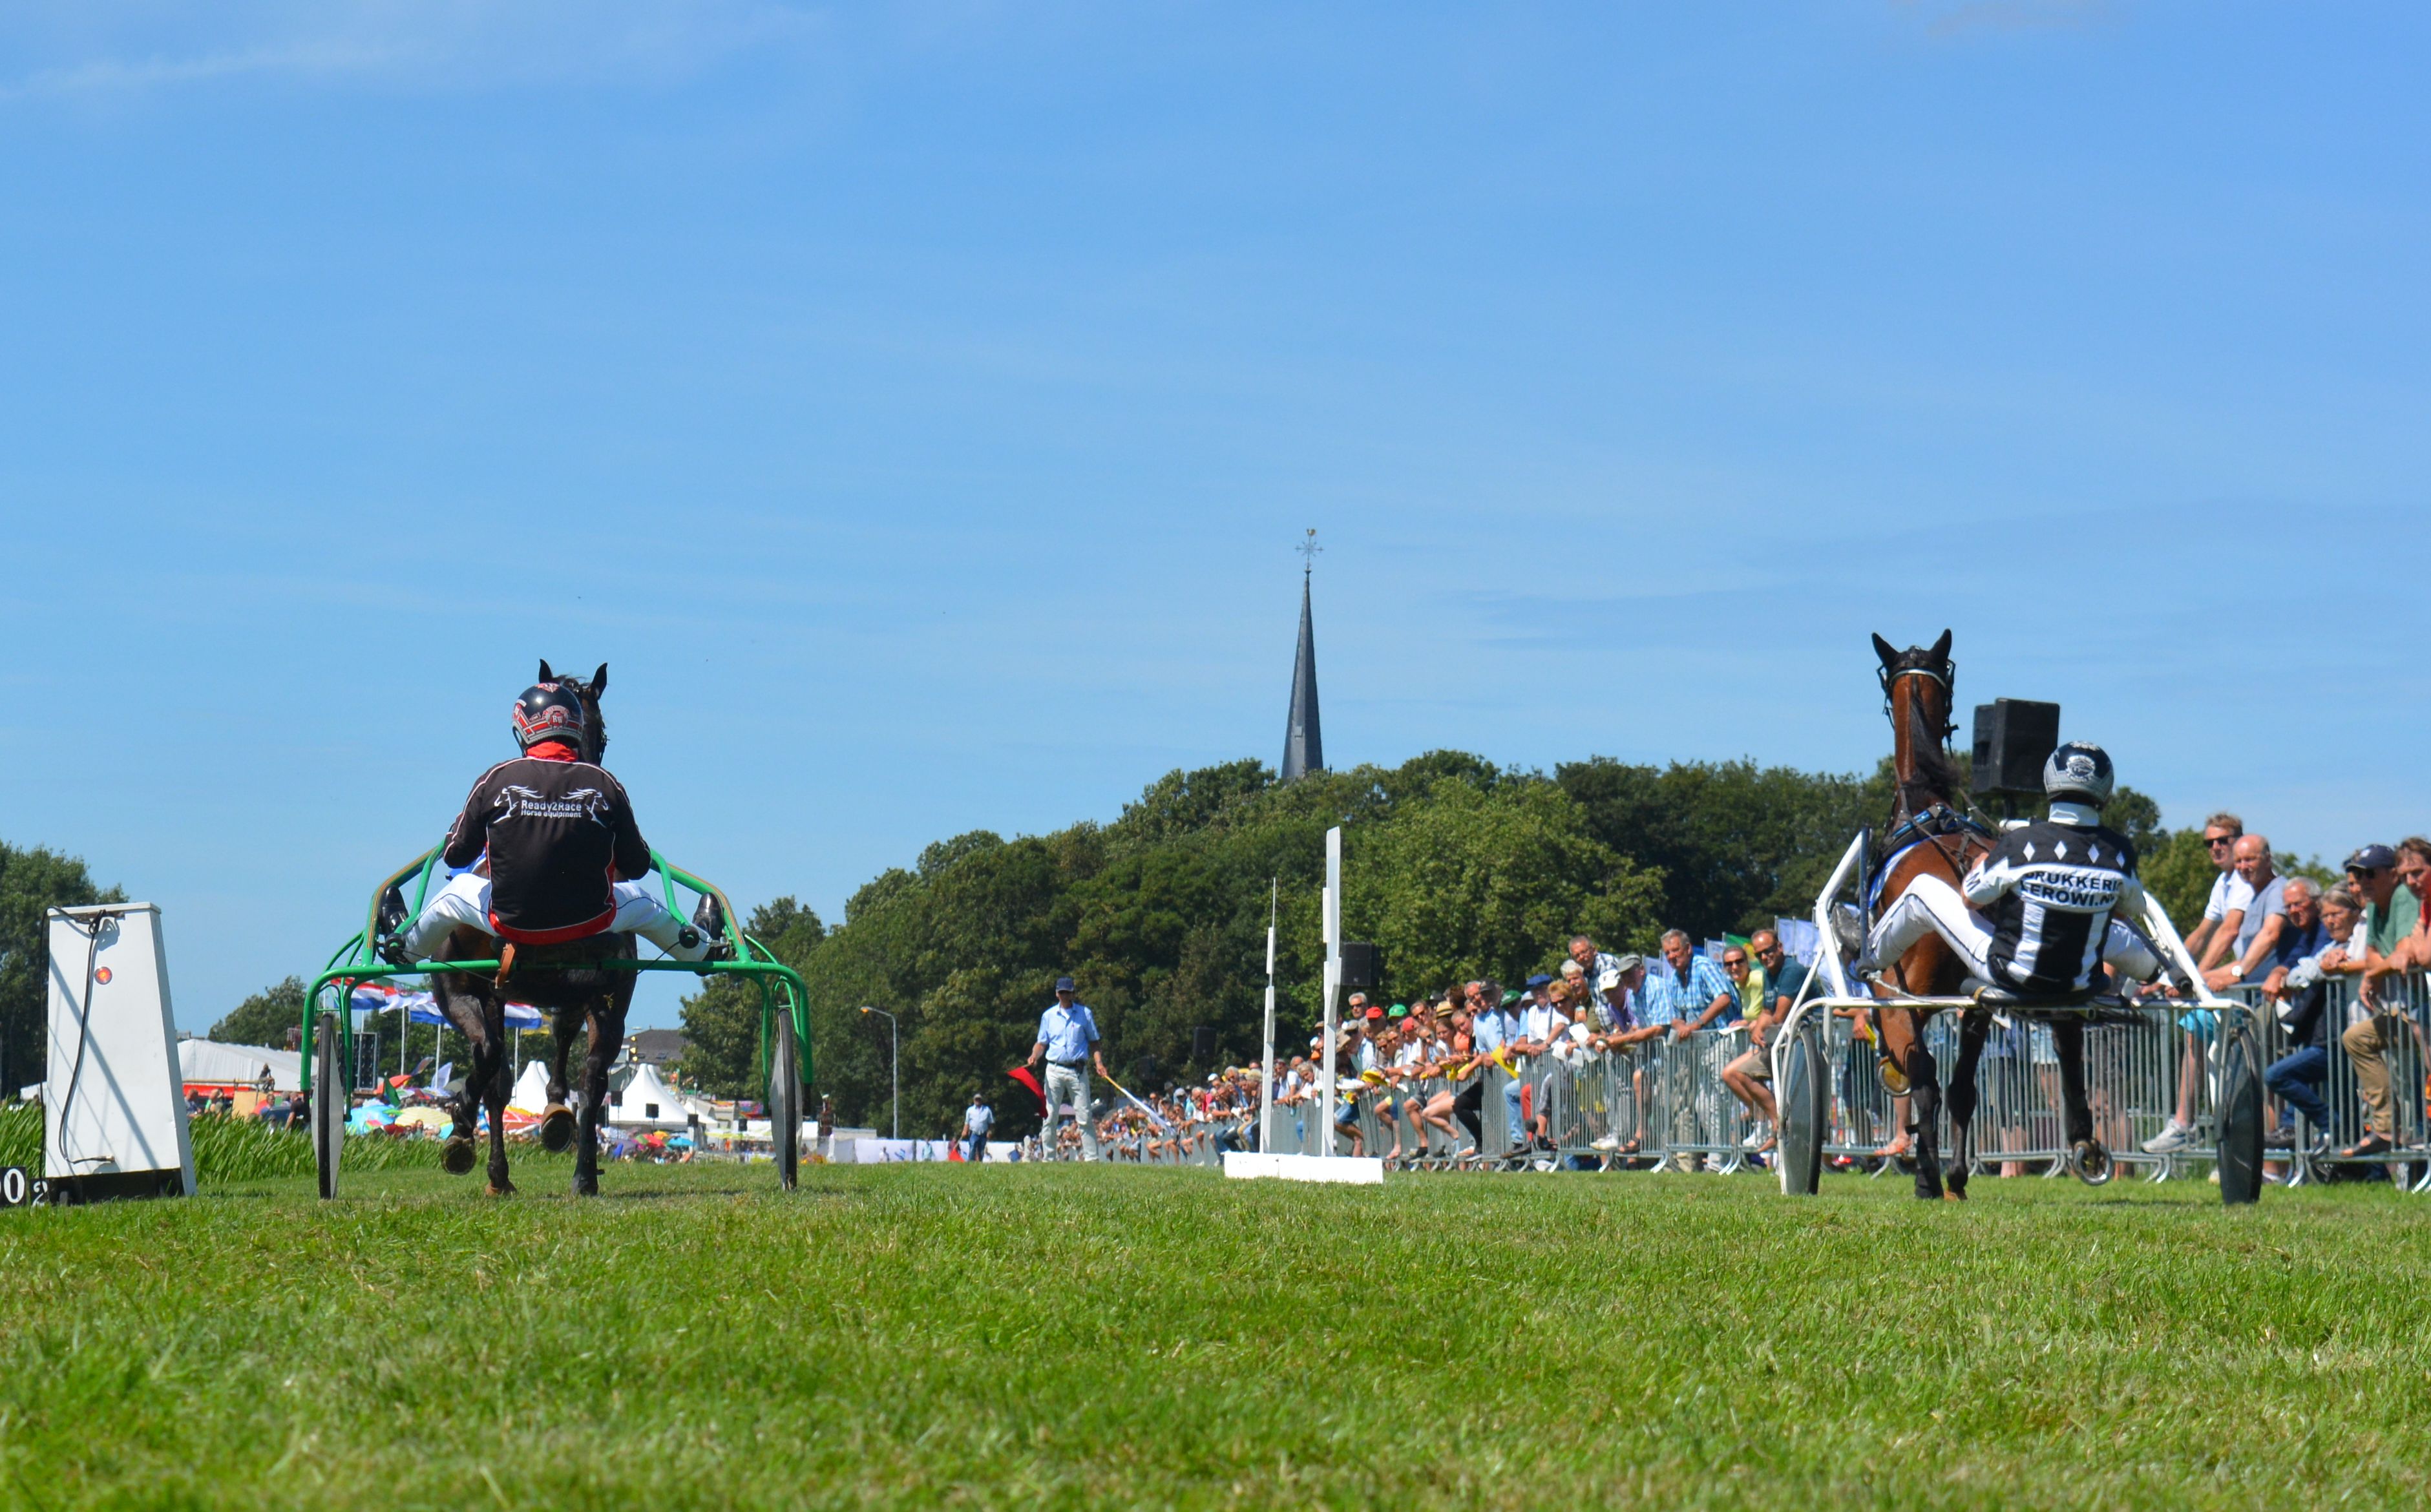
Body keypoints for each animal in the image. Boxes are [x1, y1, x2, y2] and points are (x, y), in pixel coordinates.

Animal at [1857, 642, 2110, 1210]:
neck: (1927, 809)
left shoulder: (1905, 996)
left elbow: (1923, 1075)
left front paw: (1932, 1173)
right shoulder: (1975, 1004)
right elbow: (1963, 1090)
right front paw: (1956, 1176)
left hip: (1910, 993)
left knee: (1925, 1079)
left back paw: (1927, 1175)